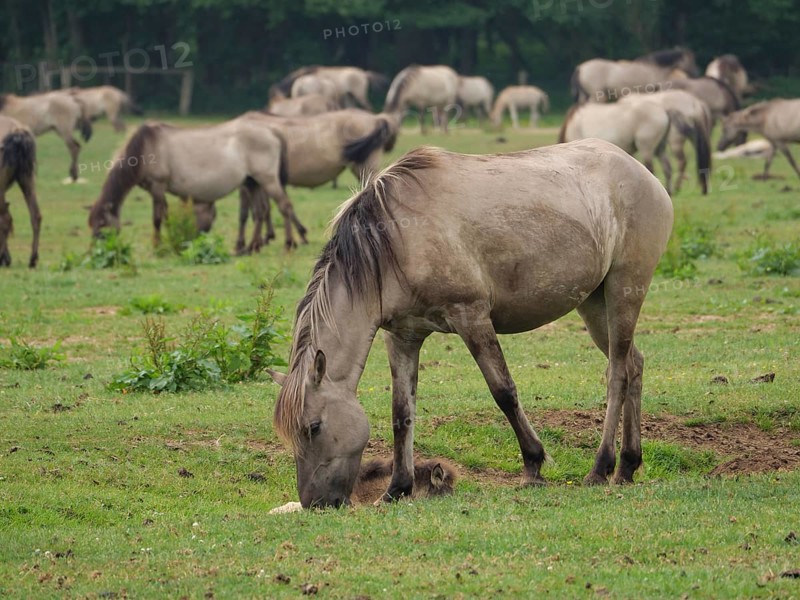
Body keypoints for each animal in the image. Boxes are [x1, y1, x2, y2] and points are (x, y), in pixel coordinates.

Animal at [88, 114, 305, 251]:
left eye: (102, 226)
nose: (94, 253)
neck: (145, 147)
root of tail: (272, 131)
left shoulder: (158, 187)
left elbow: (158, 218)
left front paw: (158, 245)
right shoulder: (157, 190)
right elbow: (165, 216)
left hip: (267, 180)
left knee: (284, 206)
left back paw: (288, 243)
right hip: (253, 182)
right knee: (260, 212)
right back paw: (252, 246)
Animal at [270, 139, 673, 508]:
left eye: (313, 427)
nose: (315, 503)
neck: (396, 241)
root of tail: (641, 171)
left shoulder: (472, 317)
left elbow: (504, 392)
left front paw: (533, 465)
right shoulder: (403, 336)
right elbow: (402, 413)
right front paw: (396, 488)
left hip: (624, 291)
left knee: (618, 374)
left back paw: (600, 468)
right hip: (594, 303)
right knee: (634, 364)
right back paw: (627, 466)